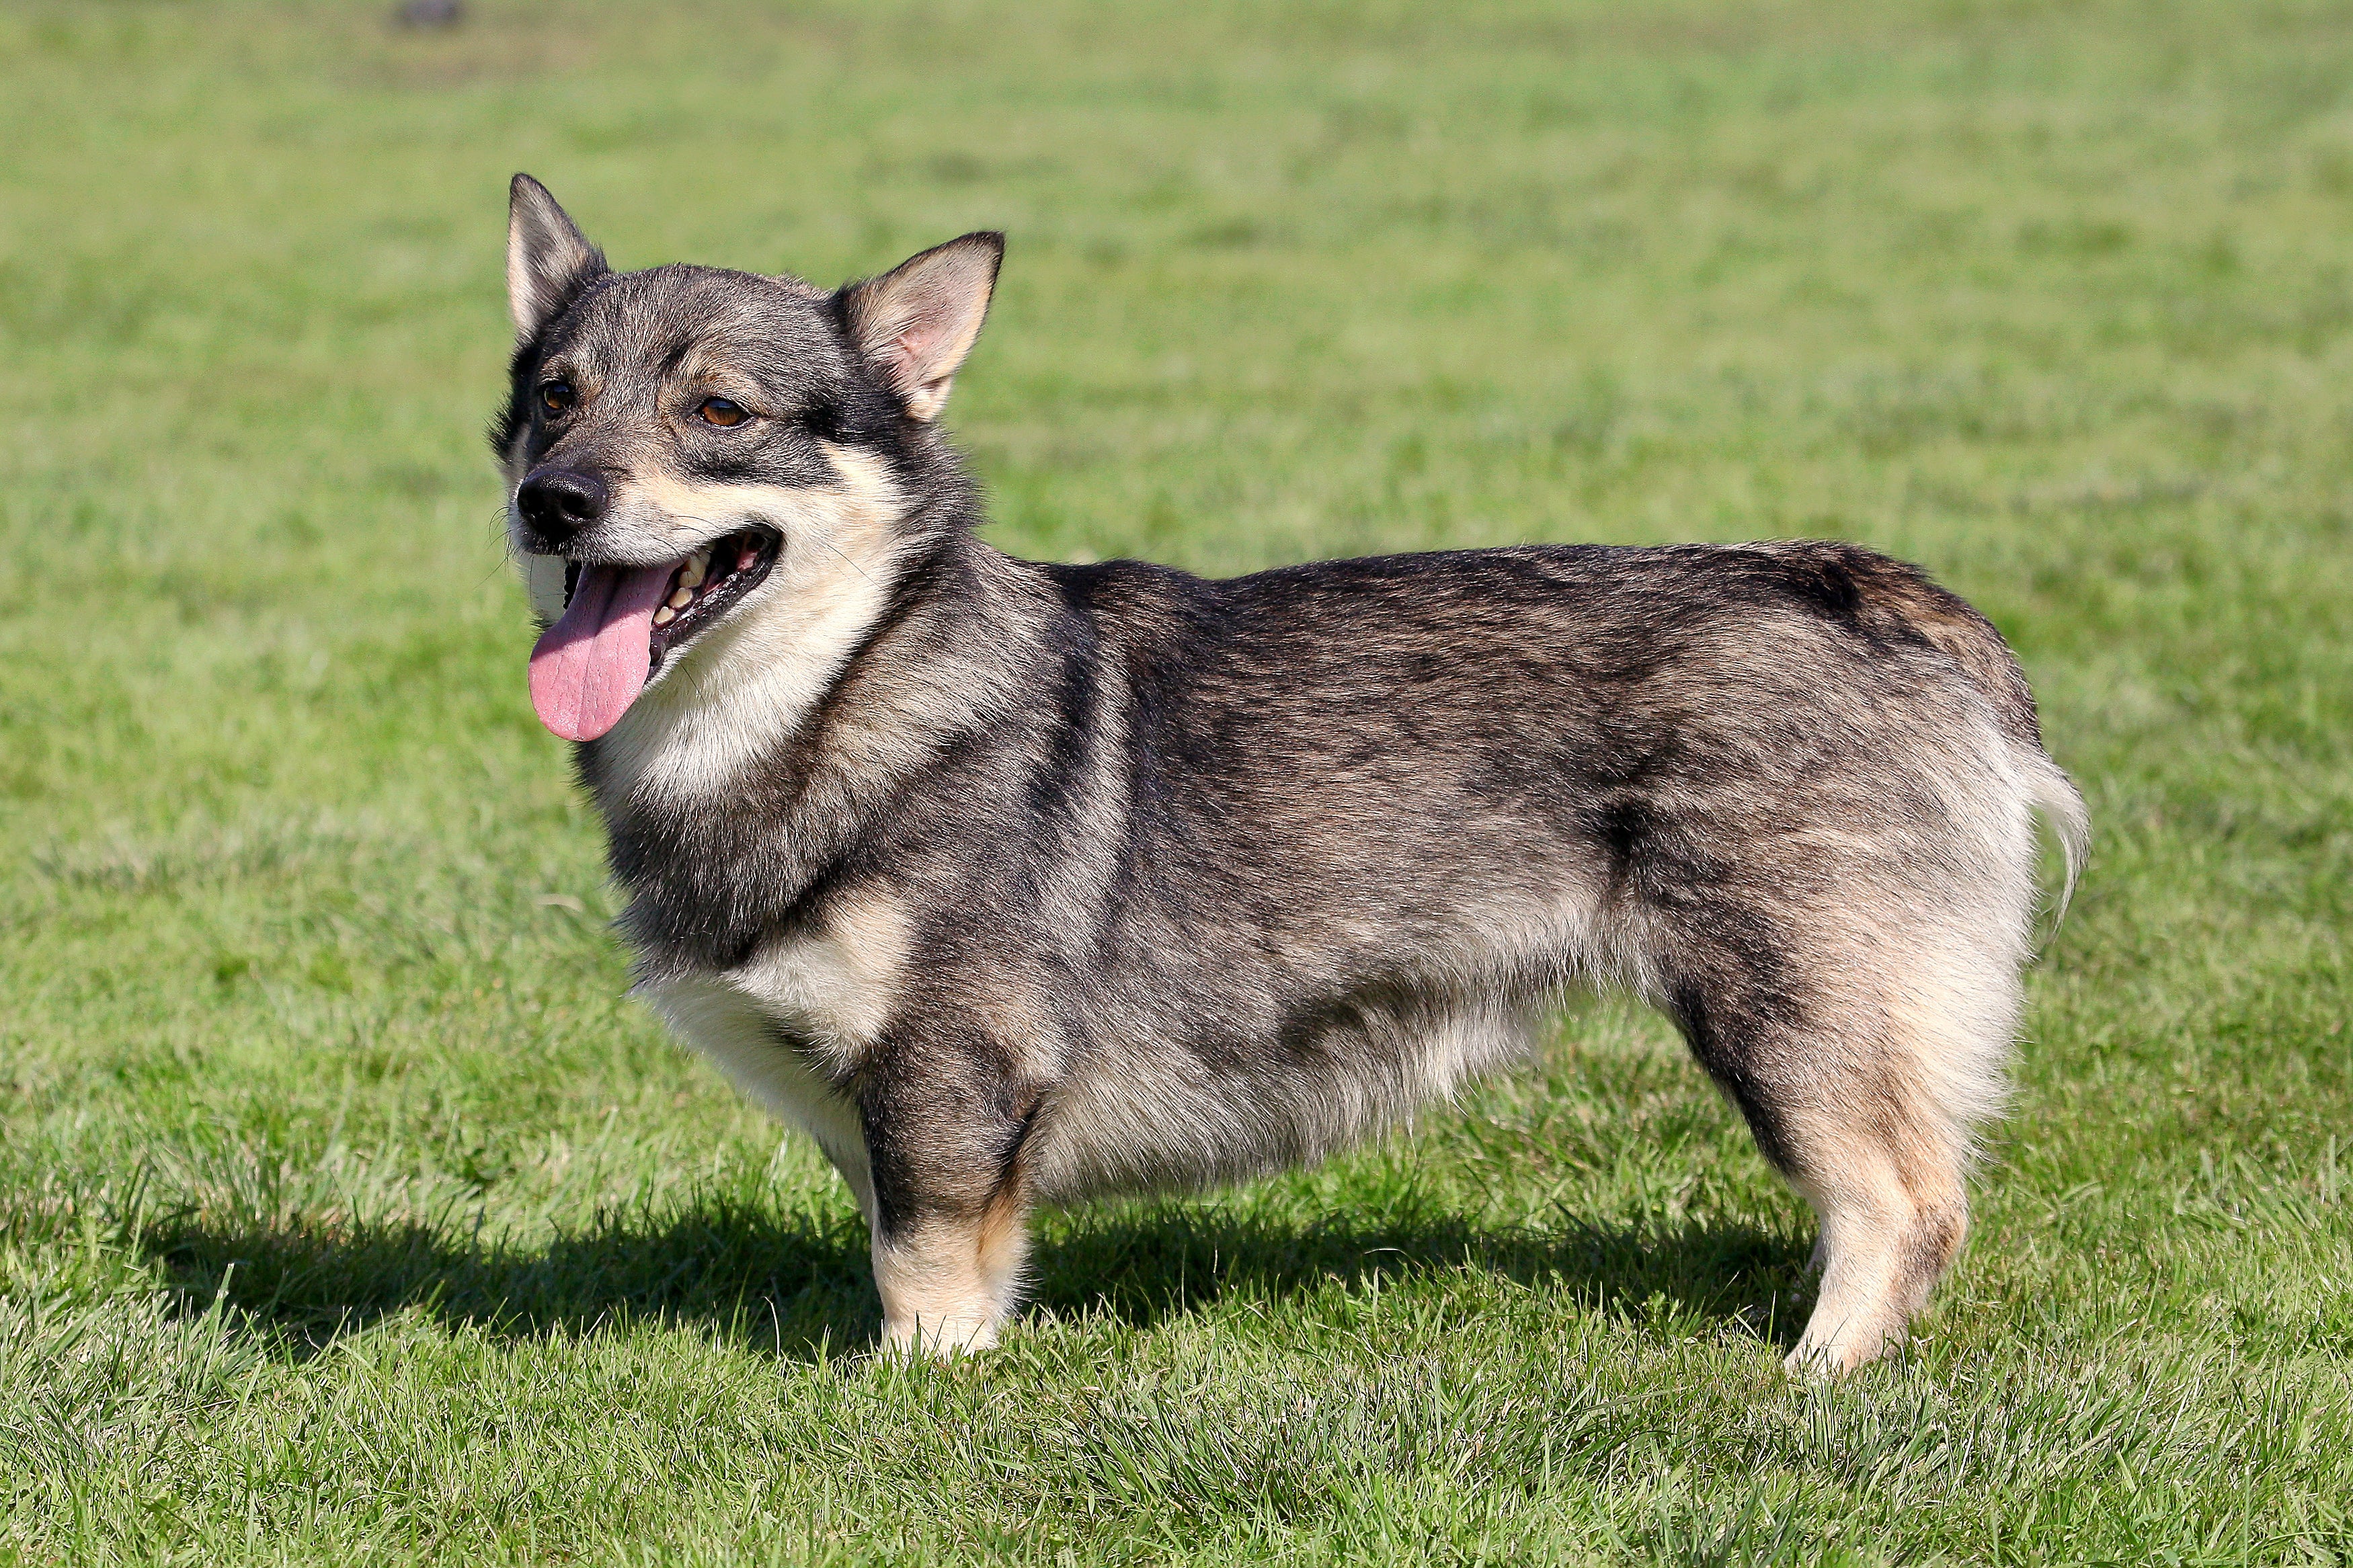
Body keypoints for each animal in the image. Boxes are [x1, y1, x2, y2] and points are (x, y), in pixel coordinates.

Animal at [491, 175, 2080, 1372]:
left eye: (719, 412)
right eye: (555, 397)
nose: (551, 499)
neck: (840, 687)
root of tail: (1866, 592)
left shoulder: (949, 1081)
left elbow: (925, 1276)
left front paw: (914, 1397)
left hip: (1786, 1008)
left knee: (1904, 1203)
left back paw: (1811, 1376)